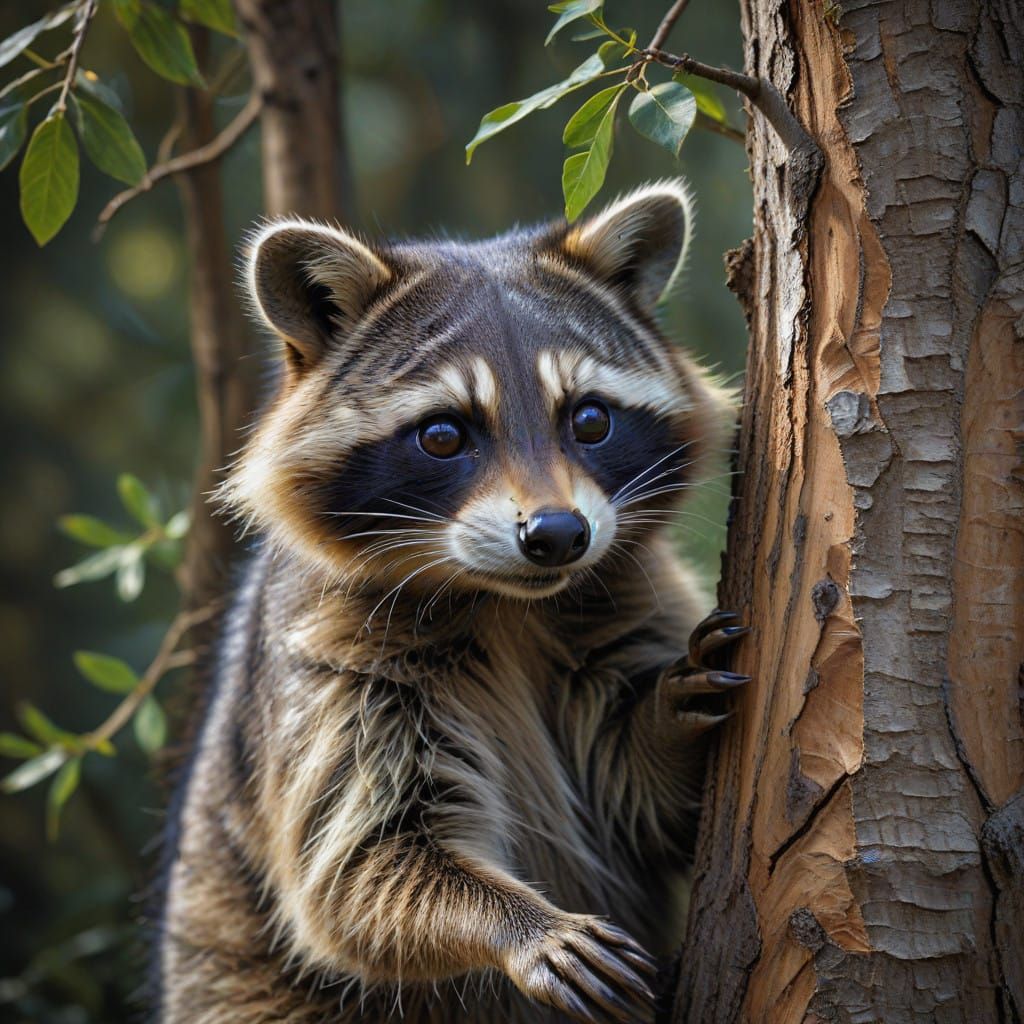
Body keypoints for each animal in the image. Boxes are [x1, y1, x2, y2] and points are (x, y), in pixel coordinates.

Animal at [155, 180, 745, 1024]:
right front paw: (516, 922)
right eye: (442, 435)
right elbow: (359, 864)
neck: (504, 603)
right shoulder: (331, 663)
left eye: (590, 419)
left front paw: (667, 723)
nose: (558, 536)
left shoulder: (629, 599)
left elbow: (638, 798)